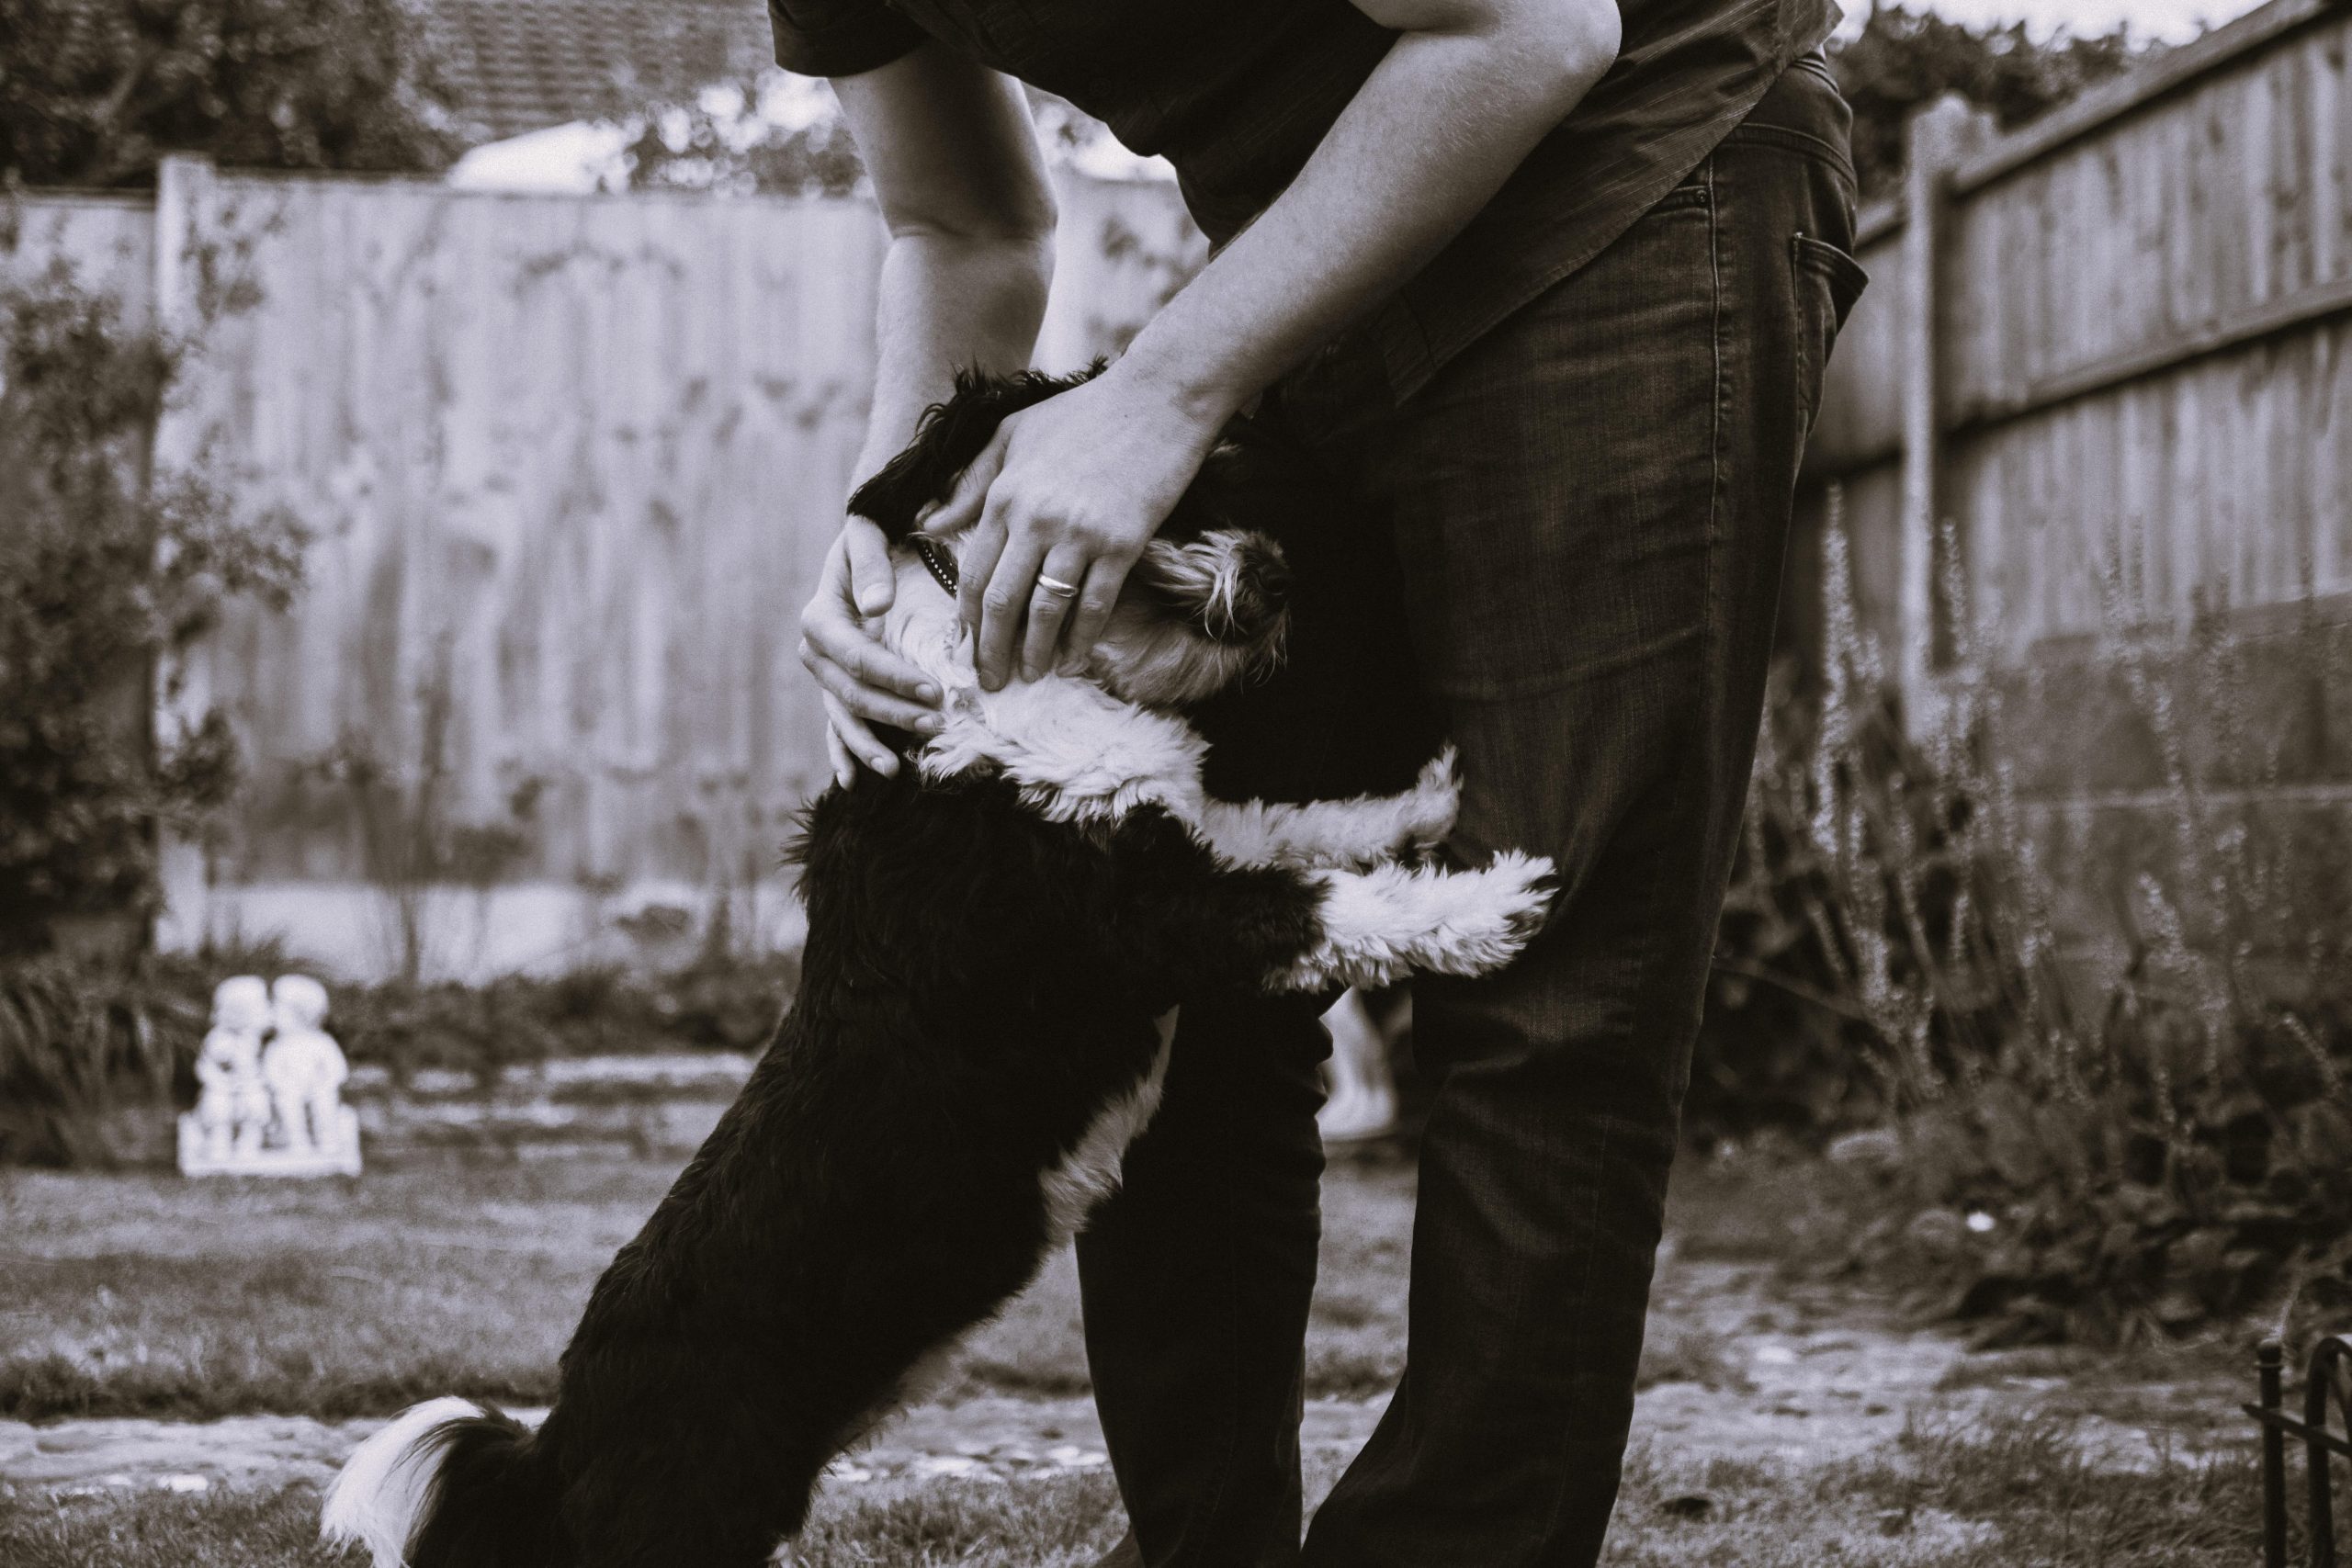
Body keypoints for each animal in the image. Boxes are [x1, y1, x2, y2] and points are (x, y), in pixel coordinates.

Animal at [317, 371, 1561, 1568]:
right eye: (1201, 465)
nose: (1281, 576)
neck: (986, 667)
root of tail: (556, 1447)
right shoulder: (1150, 911)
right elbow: (1324, 902)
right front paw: (1492, 903)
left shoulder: (1184, 832)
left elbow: (1297, 829)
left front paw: (1419, 801)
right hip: (692, 1517)